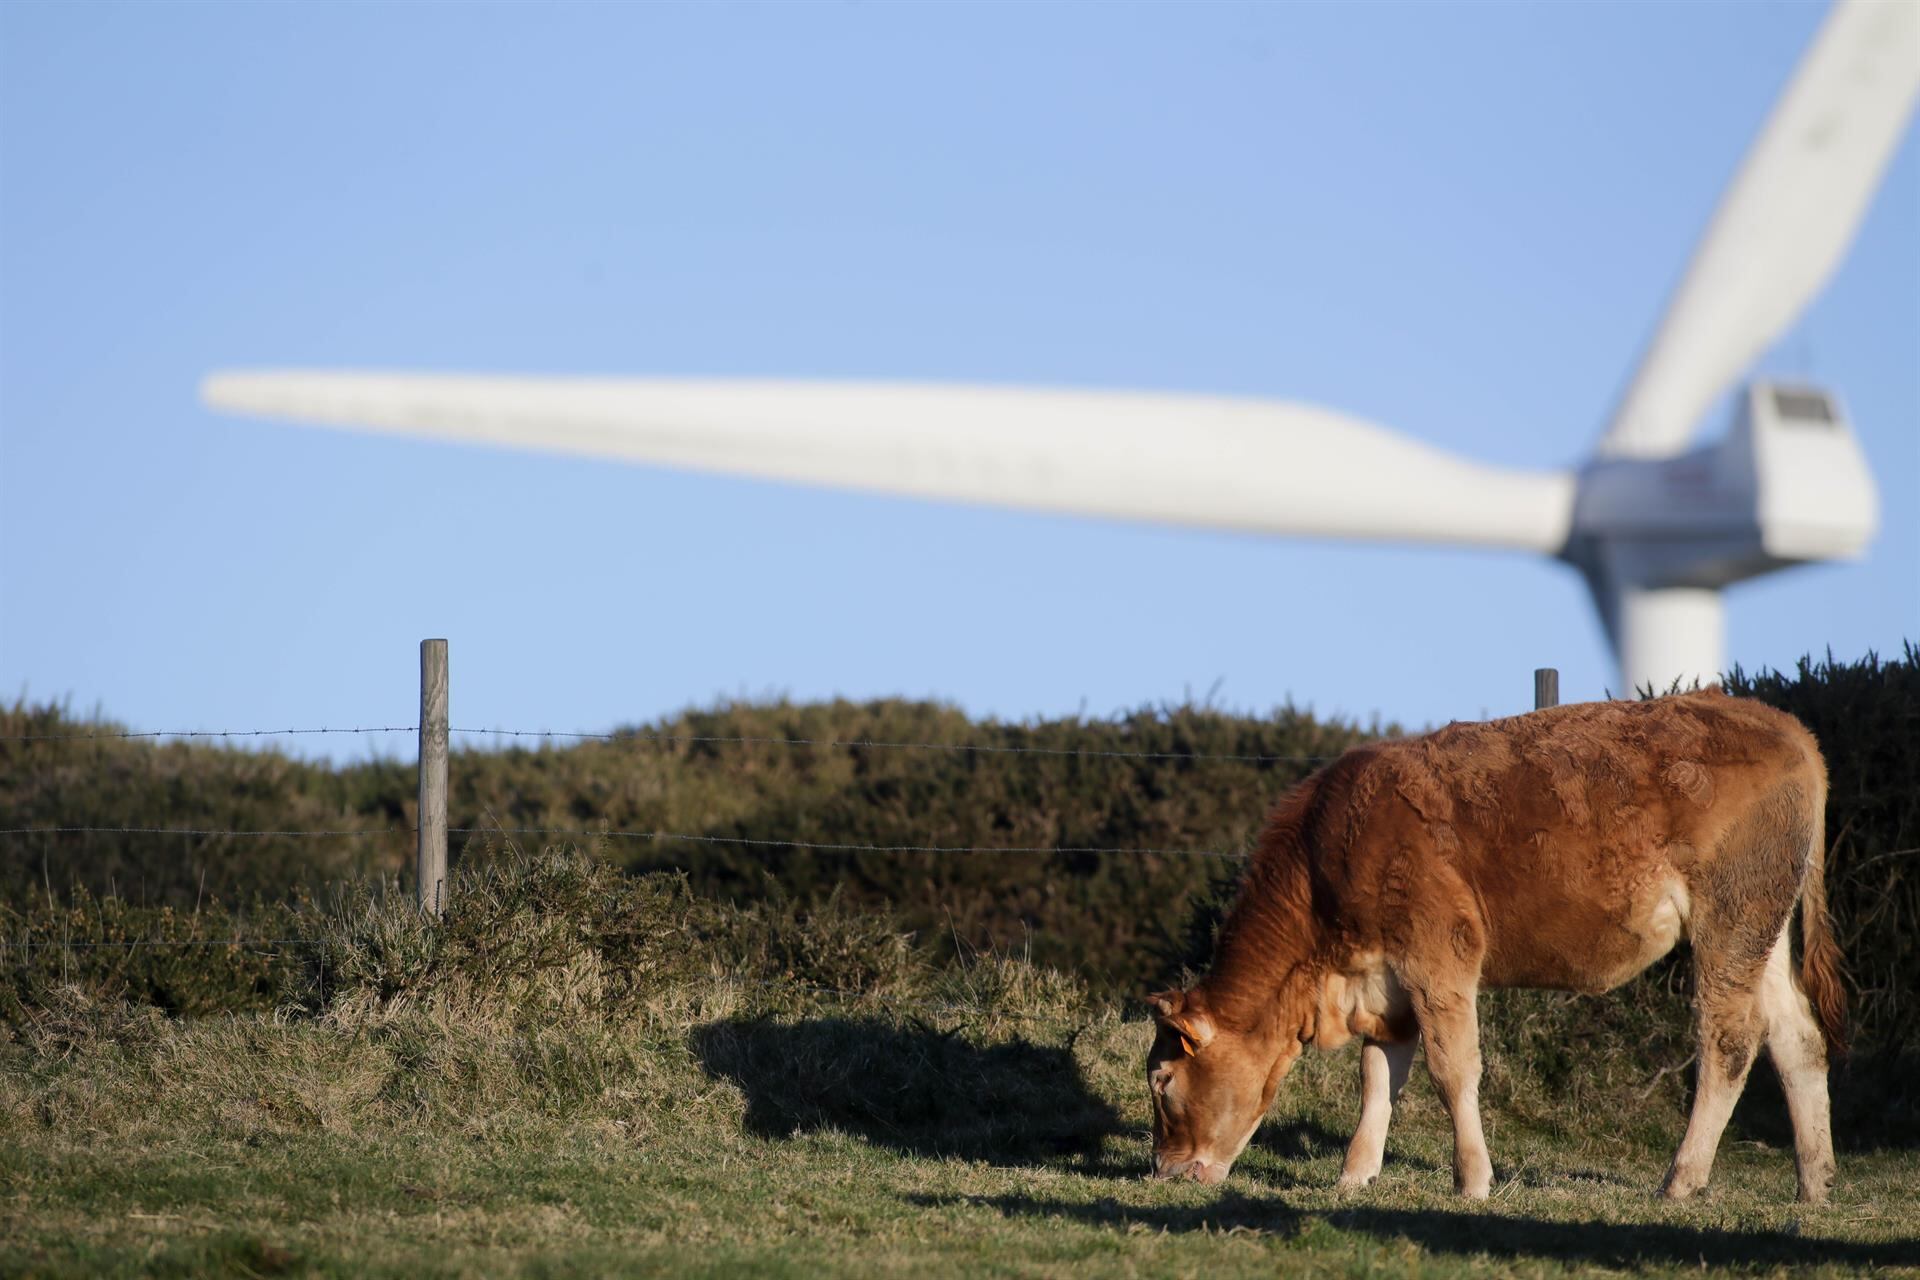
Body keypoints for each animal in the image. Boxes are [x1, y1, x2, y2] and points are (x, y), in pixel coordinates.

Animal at [1136, 690, 1843, 1205]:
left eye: (1162, 1079)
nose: (1163, 1170)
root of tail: (1785, 726)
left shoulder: (1438, 954)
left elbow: (1453, 1071)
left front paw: (1472, 1180)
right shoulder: (1386, 983)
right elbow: (1377, 1077)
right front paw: (1355, 1174)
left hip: (1731, 914)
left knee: (1729, 1039)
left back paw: (1681, 1179)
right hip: (1763, 928)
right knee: (1796, 1037)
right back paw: (1815, 1184)